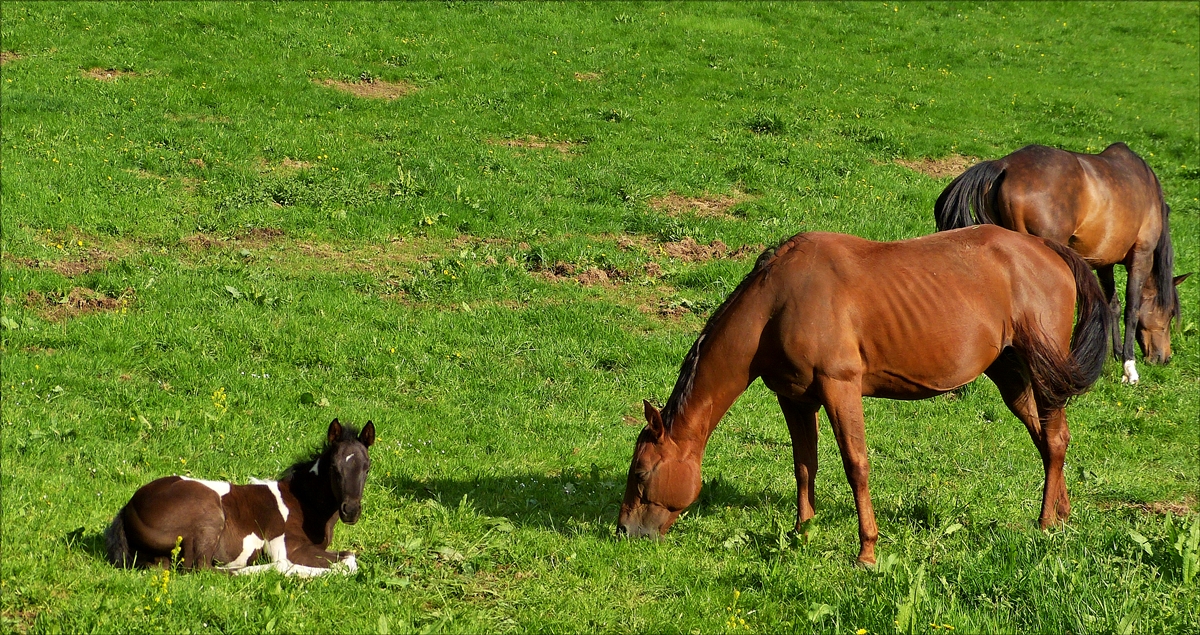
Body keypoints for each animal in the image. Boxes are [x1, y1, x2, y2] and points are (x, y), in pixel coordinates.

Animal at [106, 417, 374, 576]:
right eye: (334, 468)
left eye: (367, 468)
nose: (351, 511)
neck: (303, 503)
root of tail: (129, 508)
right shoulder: (288, 547)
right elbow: (348, 560)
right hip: (209, 516)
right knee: (205, 569)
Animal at [624, 225, 1108, 561]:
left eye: (642, 474)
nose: (623, 532)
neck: (778, 303)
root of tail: (1048, 249)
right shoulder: (795, 399)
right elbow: (804, 466)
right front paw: (802, 534)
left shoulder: (840, 389)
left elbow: (856, 466)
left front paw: (867, 552)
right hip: (1011, 377)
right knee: (1047, 441)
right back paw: (1061, 514)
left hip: (1043, 372)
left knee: (1055, 439)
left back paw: (1045, 523)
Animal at [940, 142, 1185, 381]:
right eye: (1171, 313)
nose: (1164, 358)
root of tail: (1005, 165)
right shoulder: (1141, 256)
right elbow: (1132, 310)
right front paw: (1129, 367)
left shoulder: (1105, 262)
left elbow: (1112, 305)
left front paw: (1114, 354)